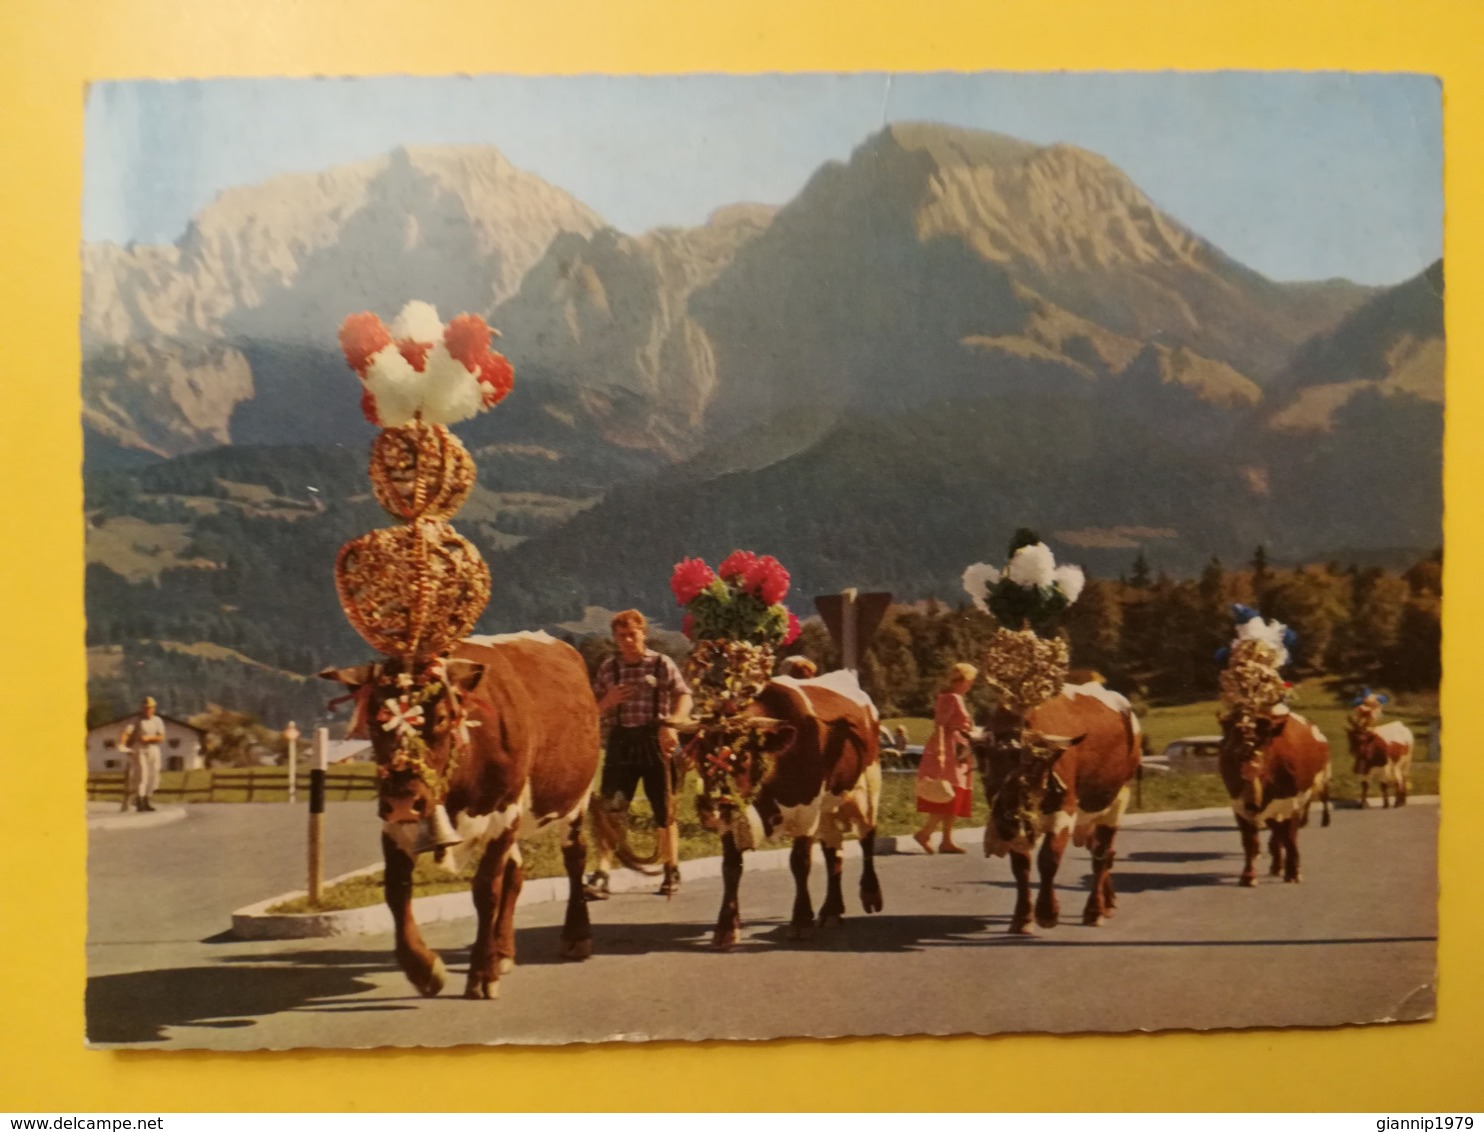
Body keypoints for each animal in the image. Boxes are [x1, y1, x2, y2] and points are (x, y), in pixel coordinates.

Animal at [322, 637, 599, 1002]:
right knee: (516, 873)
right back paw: (503, 952)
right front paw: (423, 968)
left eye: (441, 718)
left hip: (575, 802)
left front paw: (481, 973)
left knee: (574, 859)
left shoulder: (502, 814)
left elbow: (485, 891)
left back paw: (576, 936)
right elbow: (396, 890)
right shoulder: (396, 826)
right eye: (373, 720)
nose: (402, 800)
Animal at [679, 667, 878, 949]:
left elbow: (799, 863)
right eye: (700, 756)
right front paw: (726, 927)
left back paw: (871, 894)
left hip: (867, 787)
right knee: (833, 851)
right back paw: (831, 910)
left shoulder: (806, 811)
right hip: (826, 809)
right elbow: (731, 867)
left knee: (867, 837)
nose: (711, 808)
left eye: (743, 756)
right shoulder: (732, 820)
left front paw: (801, 921)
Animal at [979, 685, 1139, 931]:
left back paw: (1094, 911)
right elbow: (1020, 864)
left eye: (1033, 765)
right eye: (988, 764)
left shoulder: (1064, 812)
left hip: (1117, 800)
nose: (1007, 819)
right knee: (1104, 852)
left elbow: (1048, 858)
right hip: (1088, 816)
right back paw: (1108, 902)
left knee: (1101, 856)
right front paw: (1022, 917)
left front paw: (1047, 912)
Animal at [1216, 709, 1335, 884]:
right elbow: (1249, 841)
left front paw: (1293, 873)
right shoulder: (1239, 804)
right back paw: (1276, 865)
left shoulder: (1291, 802)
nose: (1245, 754)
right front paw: (1248, 876)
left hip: (1323, 777)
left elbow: (1290, 838)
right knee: (1276, 833)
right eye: (1231, 743)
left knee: (1322, 799)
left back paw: (1324, 821)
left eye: (1264, 740)